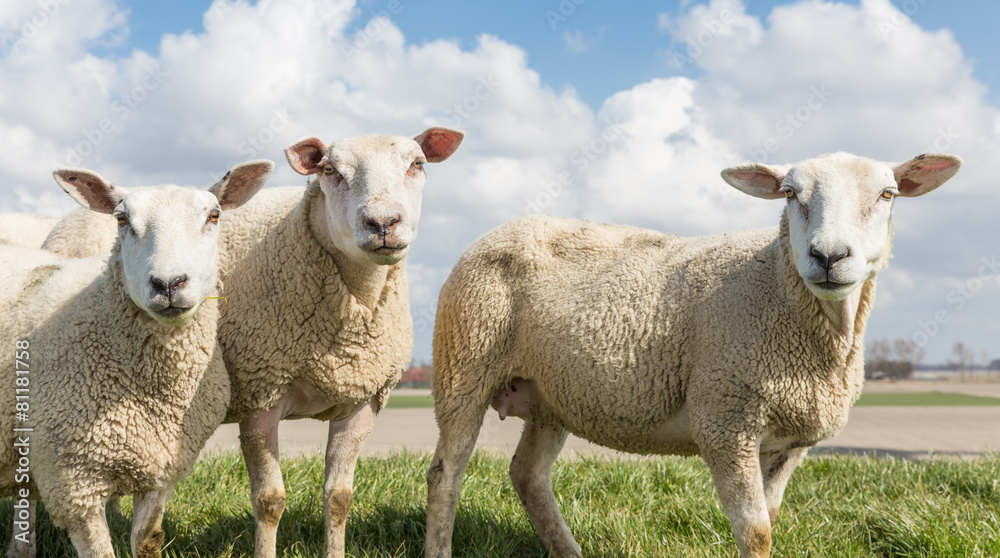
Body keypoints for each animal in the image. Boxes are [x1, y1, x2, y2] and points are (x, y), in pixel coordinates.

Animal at [0, 159, 274, 558]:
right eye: (121, 219)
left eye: (214, 215)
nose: (169, 283)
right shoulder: (73, 484)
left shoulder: (163, 467)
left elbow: (146, 539)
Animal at [35, 128, 464, 558]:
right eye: (329, 170)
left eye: (417, 164)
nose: (383, 222)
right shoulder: (260, 397)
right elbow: (270, 501)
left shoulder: (361, 402)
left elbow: (339, 498)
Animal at [426, 151, 964, 556]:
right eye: (791, 194)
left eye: (887, 194)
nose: (828, 256)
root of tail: (498, 230)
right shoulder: (725, 421)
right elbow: (756, 531)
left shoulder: (790, 442)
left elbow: (770, 518)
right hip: (465, 362)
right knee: (445, 476)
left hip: (550, 393)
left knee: (528, 475)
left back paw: (568, 551)